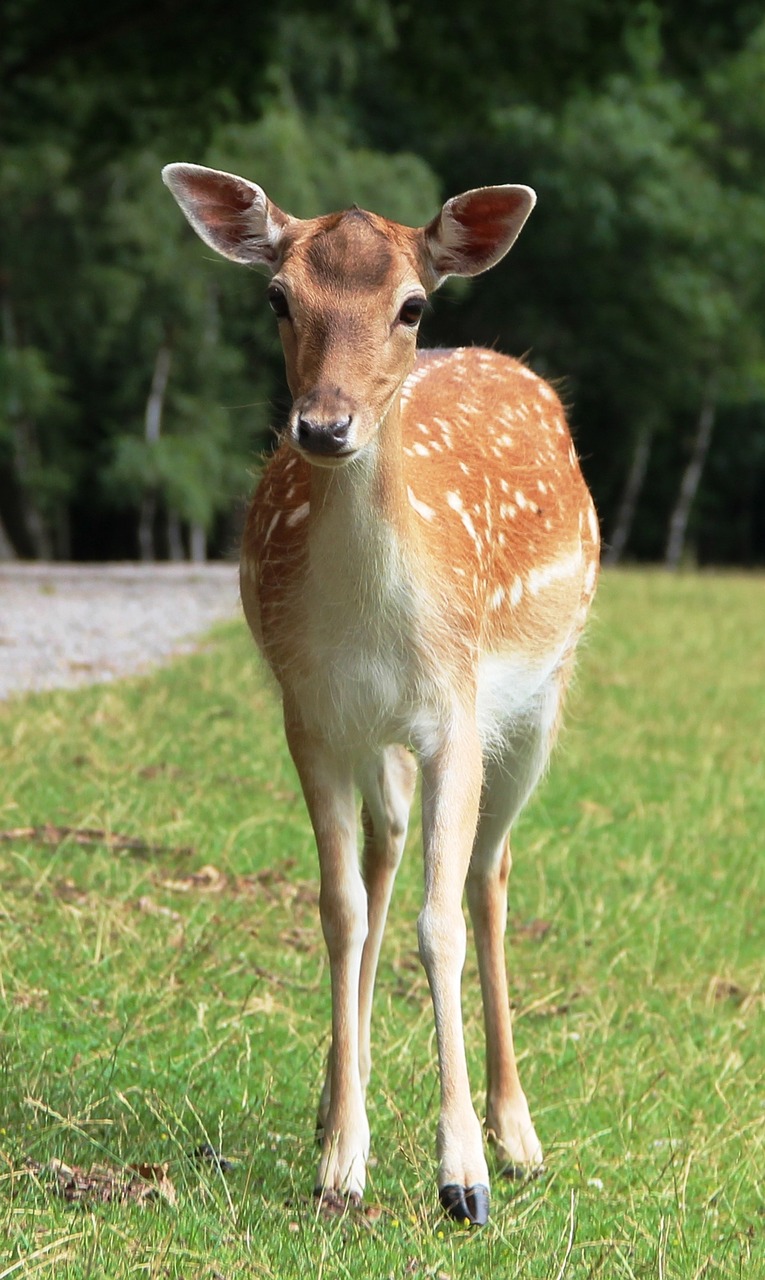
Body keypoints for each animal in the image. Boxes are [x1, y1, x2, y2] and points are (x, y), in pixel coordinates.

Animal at [161, 165, 603, 1223]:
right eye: (278, 298)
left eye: (410, 305)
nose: (322, 427)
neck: (378, 622)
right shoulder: (310, 716)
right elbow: (341, 909)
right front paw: (341, 1161)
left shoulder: (455, 713)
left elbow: (436, 926)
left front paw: (462, 1178)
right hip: (374, 739)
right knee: (384, 852)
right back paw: (334, 1105)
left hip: (538, 701)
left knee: (487, 876)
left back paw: (517, 1135)